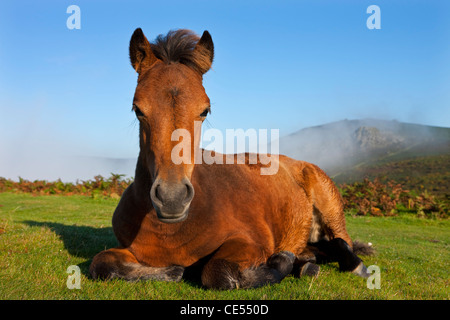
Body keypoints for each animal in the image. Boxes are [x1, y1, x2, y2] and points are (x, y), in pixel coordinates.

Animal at [89, 28, 372, 288]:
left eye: (205, 110)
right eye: (138, 109)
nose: (172, 198)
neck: (171, 231)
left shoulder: (252, 241)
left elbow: (218, 271)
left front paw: (281, 263)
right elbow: (101, 264)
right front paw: (172, 271)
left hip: (330, 209)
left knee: (342, 242)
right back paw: (306, 263)